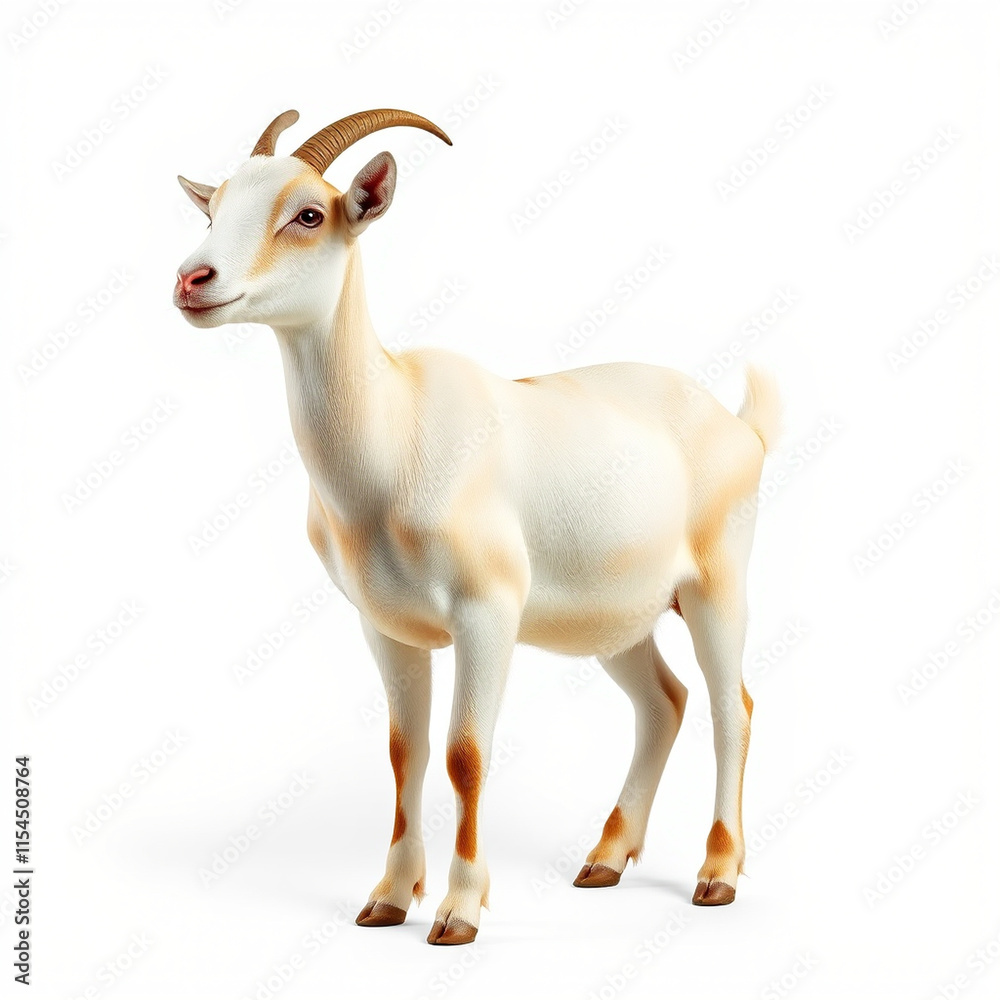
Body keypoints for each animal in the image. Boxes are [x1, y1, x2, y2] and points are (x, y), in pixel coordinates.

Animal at [174, 109, 781, 945]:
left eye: (309, 214)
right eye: (214, 208)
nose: (192, 281)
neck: (395, 432)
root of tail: (740, 425)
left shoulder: (486, 613)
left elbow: (466, 754)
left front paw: (458, 911)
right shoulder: (385, 627)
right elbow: (406, 751)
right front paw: (388, 899)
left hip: (718, 587)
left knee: (732, 709)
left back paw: (716, 874)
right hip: (616, 617)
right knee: (665, 702)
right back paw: (604, 860)